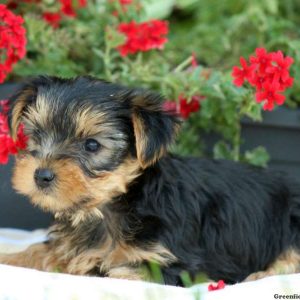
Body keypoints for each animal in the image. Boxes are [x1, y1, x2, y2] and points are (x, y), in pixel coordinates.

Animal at [0, 76, 300, 284]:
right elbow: (41, 250)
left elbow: (109, 271)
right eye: (36, 134)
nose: (41, 175)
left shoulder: (175, 265)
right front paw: (9, 256)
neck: (112, 208)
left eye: (92, 146)